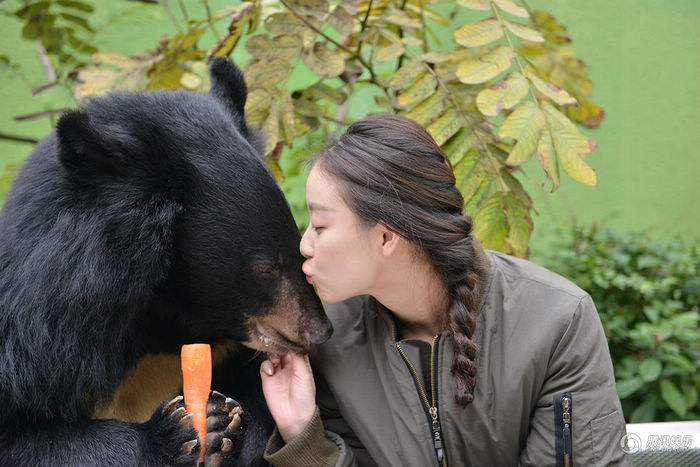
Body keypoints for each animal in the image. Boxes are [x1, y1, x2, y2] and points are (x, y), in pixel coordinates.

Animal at [0, 59, 332, 467]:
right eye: (264, 268)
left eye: (301, 252)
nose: (318, 333)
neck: (165, 322)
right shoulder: (37, 345)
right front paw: (175, 434)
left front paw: (224, 424)